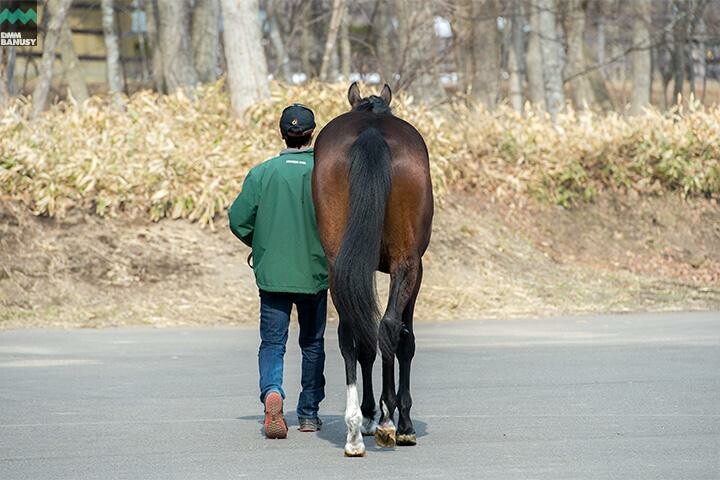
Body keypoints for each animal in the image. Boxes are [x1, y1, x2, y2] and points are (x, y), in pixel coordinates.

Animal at [310, 83, 434, 458]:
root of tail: (371, 132)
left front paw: (369, 414)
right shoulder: (413, 268)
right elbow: (403, 339)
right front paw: (397, 419)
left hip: (339, 267)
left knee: (353, 334)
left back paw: (354, 430)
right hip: (407, 263)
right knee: (390, 328)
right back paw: (390, 422)